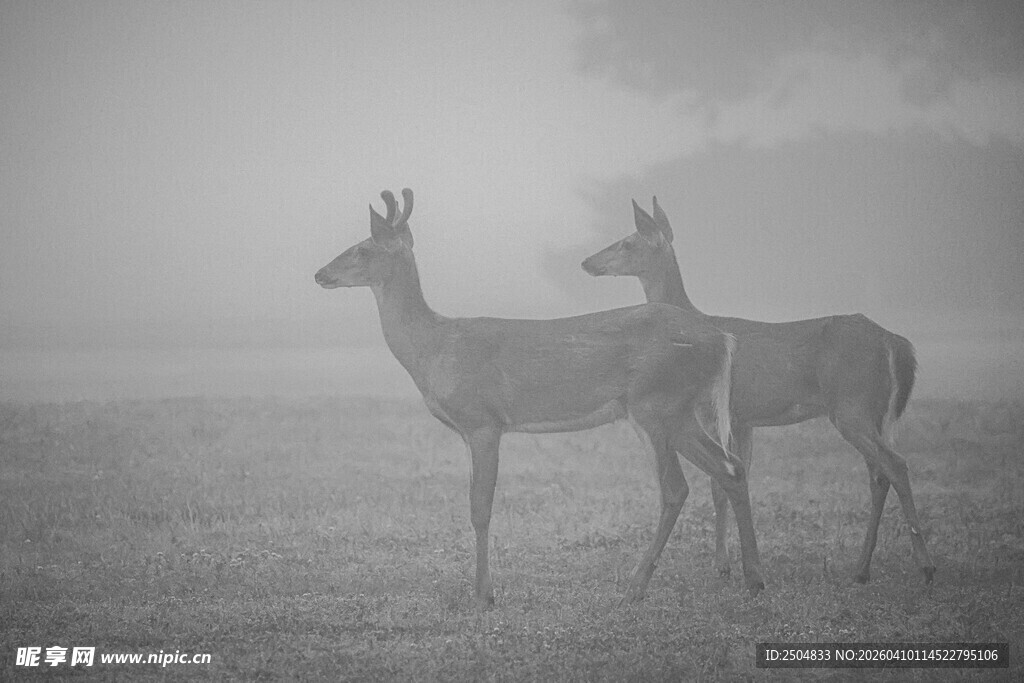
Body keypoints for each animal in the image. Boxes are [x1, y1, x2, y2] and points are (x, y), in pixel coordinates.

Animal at [315, 188, 765, 609]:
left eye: (363, 248)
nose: (320, 273)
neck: (435, 347)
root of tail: (722, 339)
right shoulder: (472, 430)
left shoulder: (484, 422)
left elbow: (480, 508)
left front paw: (484, 595)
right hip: (679, 411)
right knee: (731, 468)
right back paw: (753, 580)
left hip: (653, 402)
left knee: (675, 488)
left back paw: (635, 587)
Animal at [581, 197, 935, 586]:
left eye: (627, 242)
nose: (587, 262)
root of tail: (896, 342)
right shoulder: (743, 419)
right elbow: (736, 476)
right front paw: (737, 563)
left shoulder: (715, 412)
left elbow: (719, 484)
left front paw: (723, 566)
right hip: (873, 412)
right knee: (878, 474)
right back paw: (861, 569)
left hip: (851, 406)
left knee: (895, 465)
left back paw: (924, 565)